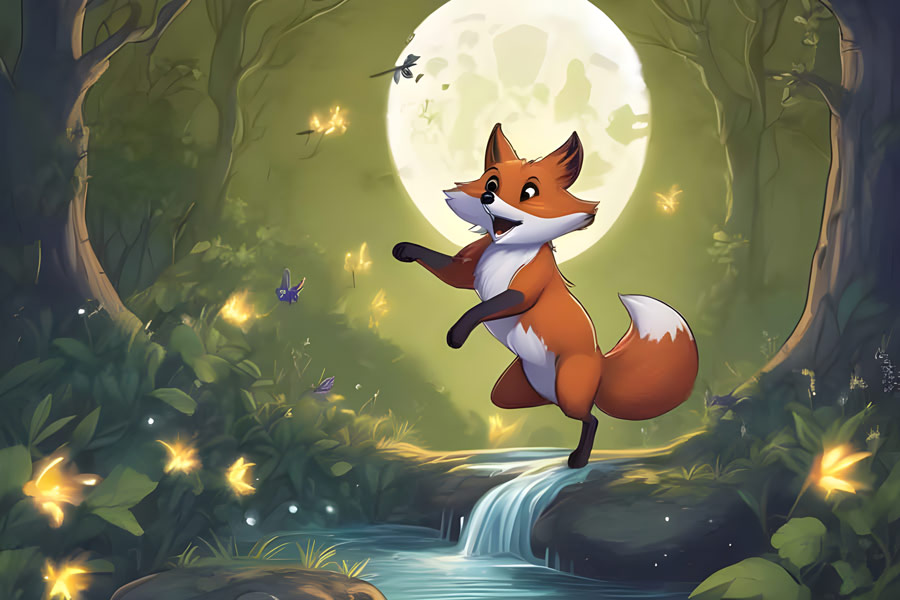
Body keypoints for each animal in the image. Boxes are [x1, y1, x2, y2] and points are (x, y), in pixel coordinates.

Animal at [393, 124, 699, 468]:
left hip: (568, 389)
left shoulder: (524, 290)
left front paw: (458, 333)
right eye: (491, 183)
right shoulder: (465, 272)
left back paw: (578, 459)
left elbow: (485, 307)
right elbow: (443, 267)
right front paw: (405, 250)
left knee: (592, 418)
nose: (487, 196)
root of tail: (602, 364)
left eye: (529, 192)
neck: (506, 251)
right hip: (513, 392)